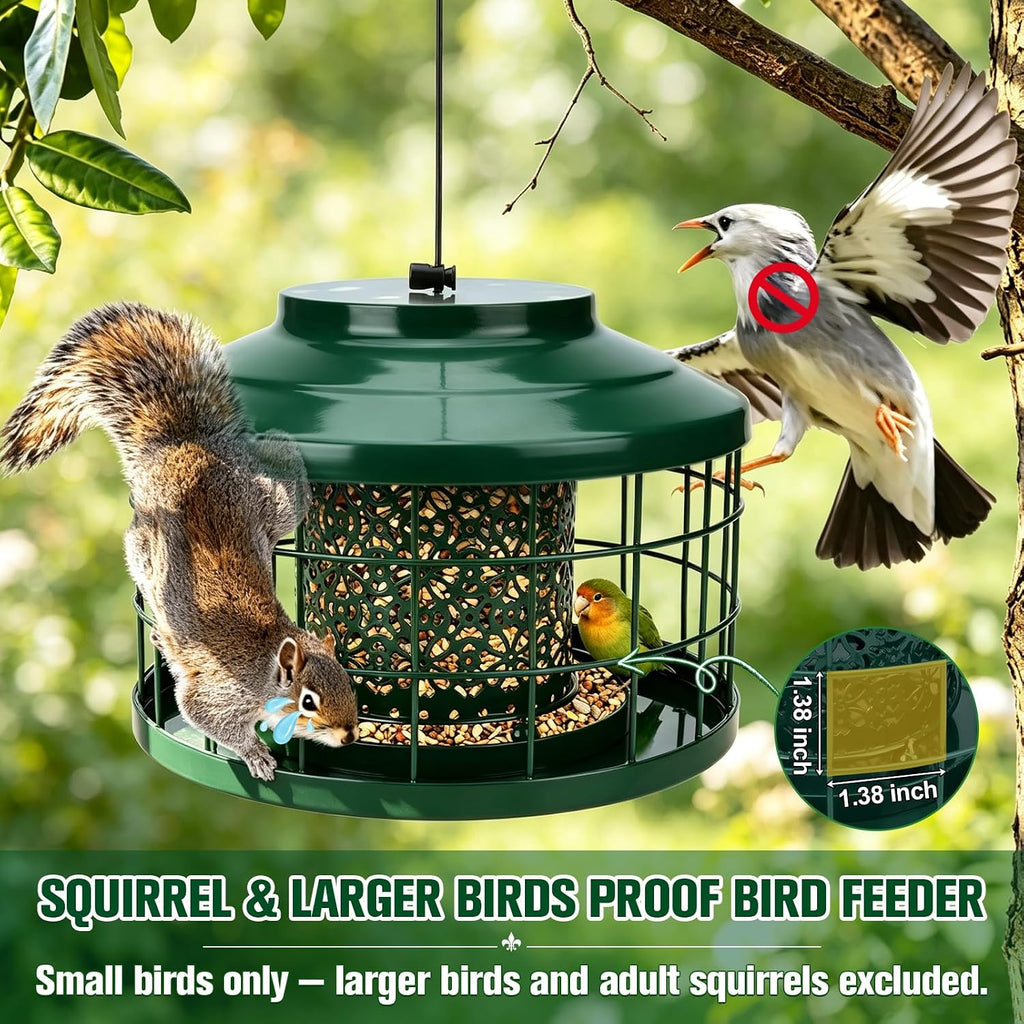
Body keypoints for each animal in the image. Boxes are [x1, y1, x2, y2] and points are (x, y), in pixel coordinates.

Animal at [0, 302, 358, 781]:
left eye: (349, 683)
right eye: (308, 701)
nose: (349, 735)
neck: (265, 668)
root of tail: (184, 445)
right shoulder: (219, 694)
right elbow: (206, 716)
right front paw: (256, 756)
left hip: (267, 508)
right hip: (162, 541)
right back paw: (282, 441)